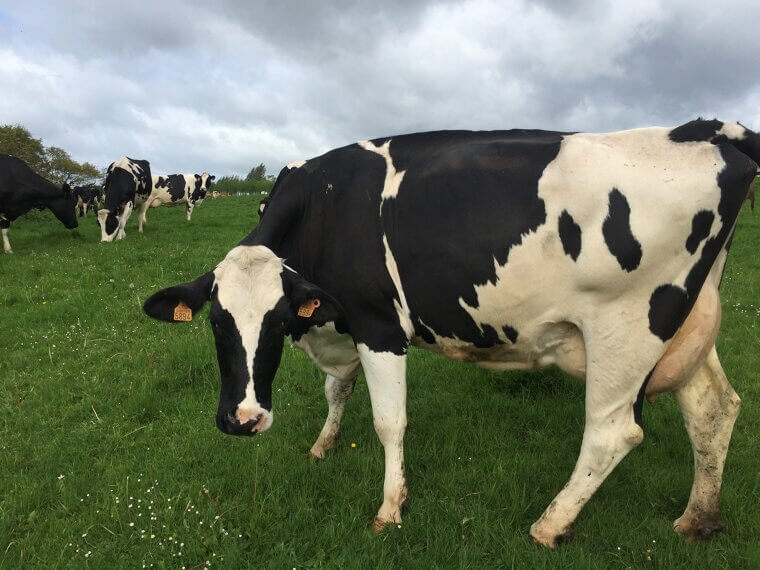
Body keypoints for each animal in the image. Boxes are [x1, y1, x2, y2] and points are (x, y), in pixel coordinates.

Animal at [143, 119, 759, 546]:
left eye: (275, 321)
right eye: (217, 321)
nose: (243, 420)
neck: (326, 202)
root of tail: (702, 128)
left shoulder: (377, 323)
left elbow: (389, 421)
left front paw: (390, 509)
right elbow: (337, 389)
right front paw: (324, 444)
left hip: (627, 328)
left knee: (612, 433)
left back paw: (549, 525)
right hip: (687, 326)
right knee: (713, 409)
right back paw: (698, 519)